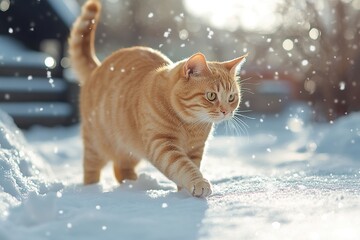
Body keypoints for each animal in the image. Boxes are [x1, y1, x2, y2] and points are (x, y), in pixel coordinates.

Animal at [68, 0, 246, 197]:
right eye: (211, 95)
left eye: (232, 97)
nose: (226, 111)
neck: (191, 125)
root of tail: (98, 67)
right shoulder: (162, 145)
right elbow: (184, 167)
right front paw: (198, 183)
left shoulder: (195, 149)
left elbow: (192, 166)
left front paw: (184, 194)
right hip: (96, 144)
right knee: (91, 170)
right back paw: (93, 190)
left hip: (129, 149)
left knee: (120, 168)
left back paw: (132, 186)